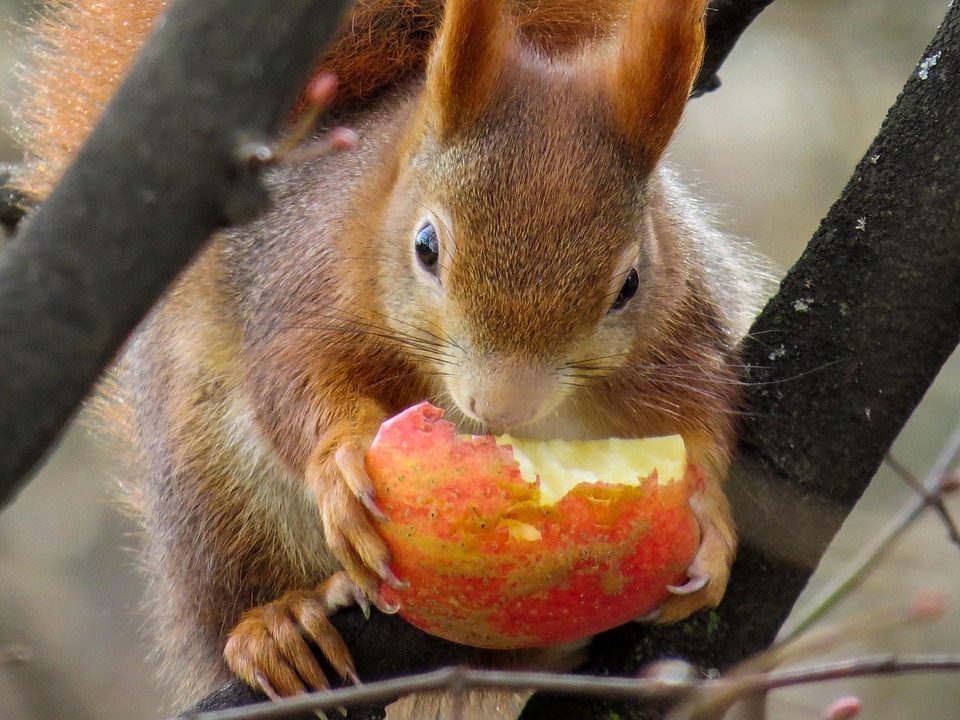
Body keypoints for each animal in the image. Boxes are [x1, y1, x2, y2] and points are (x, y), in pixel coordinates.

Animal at [15, 0, 771, 714]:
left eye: (630, 285)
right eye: (426, 246)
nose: (503, 405)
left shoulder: (683, 335)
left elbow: (704, 422)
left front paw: (709, 519)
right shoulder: (303, 295)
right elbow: (296, 387)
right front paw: (341, 468)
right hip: (213, 492)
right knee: (228, 596)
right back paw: (277, 627)